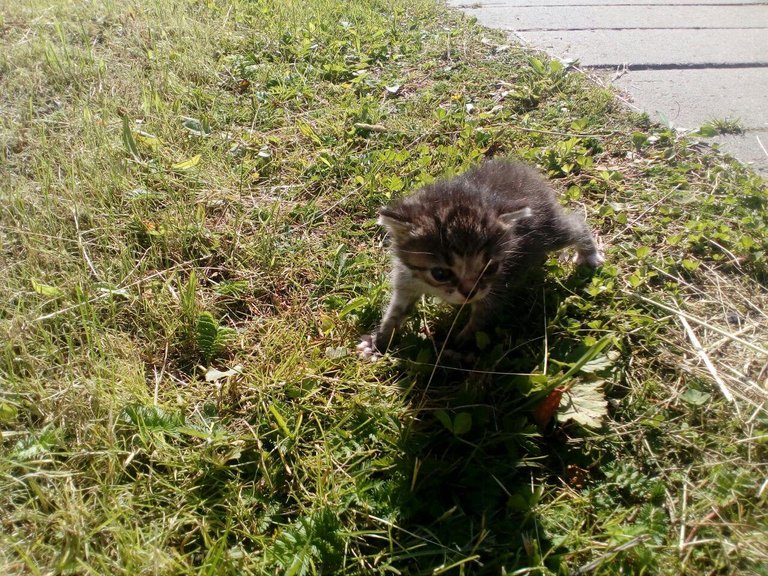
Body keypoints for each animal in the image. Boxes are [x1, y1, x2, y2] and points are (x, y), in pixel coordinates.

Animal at [356, 159, 604, 360]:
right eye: (440, 273)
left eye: (491, 267)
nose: (470, 293)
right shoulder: (406, 278)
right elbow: (394, 313)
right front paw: (379, 342)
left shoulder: (498, 285)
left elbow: (480, 320)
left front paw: (460, 346)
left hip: (551, 231)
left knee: (575, 224)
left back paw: (589, 254)